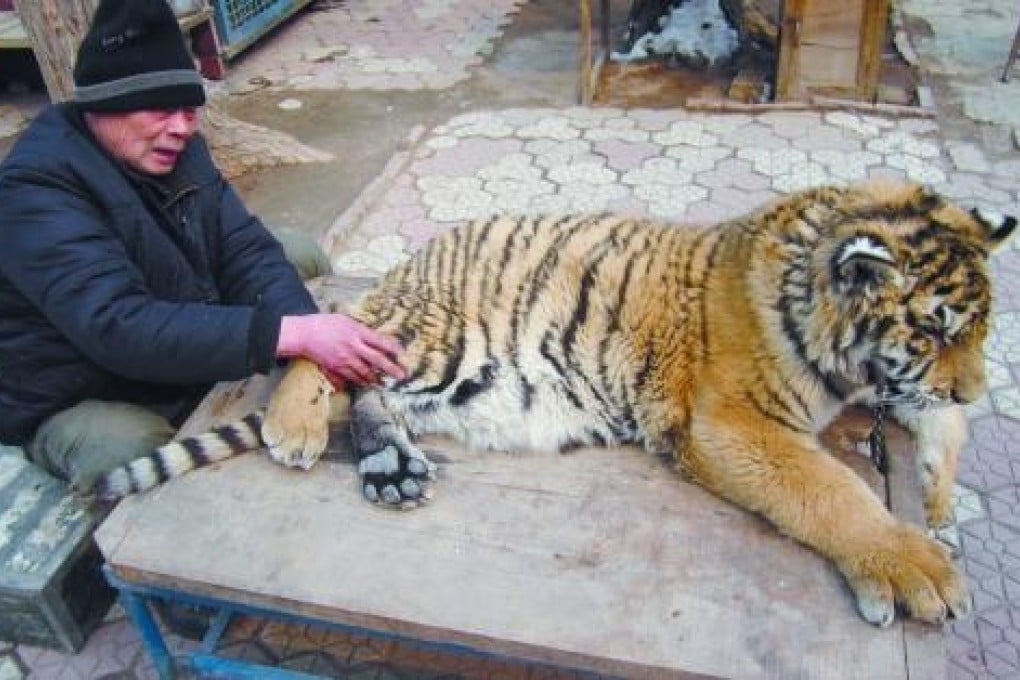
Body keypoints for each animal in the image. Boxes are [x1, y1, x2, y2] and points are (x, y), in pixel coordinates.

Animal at [95, 178, 1016, 627]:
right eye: (934, 328)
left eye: (975, 330)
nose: (975, 381)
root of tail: (413, 262)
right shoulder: (735, 421)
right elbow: (830, 491)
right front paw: (915, 569)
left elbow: (935, 424)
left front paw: (937, 499)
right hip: (432, 335)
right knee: (325, 342)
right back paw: (297, 429)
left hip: (448, 378)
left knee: (369, 394)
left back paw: (391, 470)